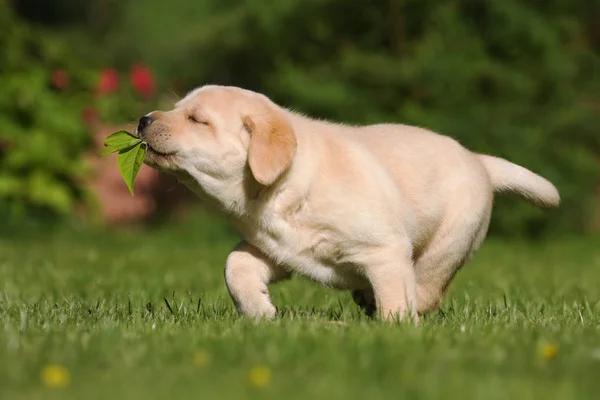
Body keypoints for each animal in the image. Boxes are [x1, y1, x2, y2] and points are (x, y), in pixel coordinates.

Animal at [138, 84, 560, 322]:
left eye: (197, 120)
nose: (142, 120)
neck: (286, 187)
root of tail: (479, 160)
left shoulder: (385, 249)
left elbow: (395, 296)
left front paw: (395, 332)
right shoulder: (276, 249)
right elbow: (235, 265)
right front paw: (259, 312)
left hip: (452, 238)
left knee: (428, 285)